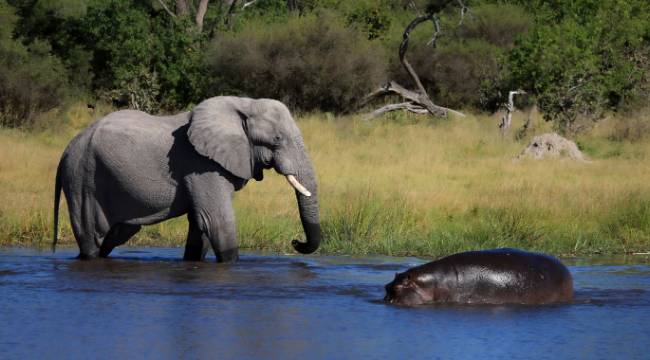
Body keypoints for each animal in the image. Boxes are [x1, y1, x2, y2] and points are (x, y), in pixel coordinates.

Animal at [52, 97, 320, 262]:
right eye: (277, 139)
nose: (295, 241)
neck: (243, 104)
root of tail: (66, 149)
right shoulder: (202, 164)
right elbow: (215, 220)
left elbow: (199, 224)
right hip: (82, 179)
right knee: (91, 239)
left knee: (116, 234)